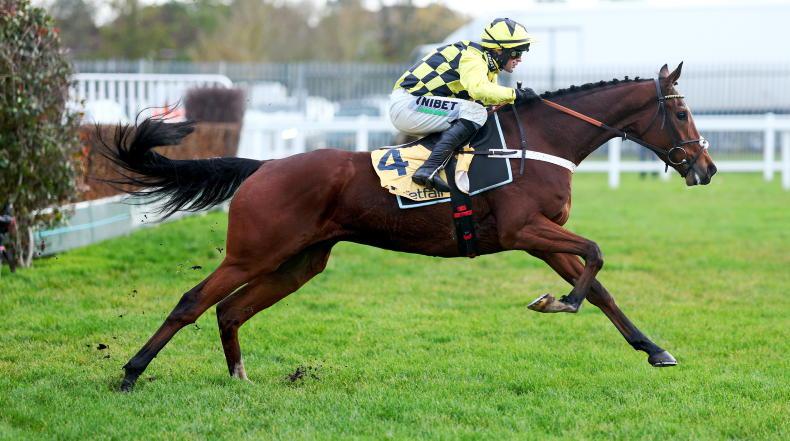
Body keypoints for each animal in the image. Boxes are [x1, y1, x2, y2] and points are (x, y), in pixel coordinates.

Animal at [108, 63, 716, 392]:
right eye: (681, 113)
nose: (706, 168)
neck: (541, 143)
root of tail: (264, 165)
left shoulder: (541, 238)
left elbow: (602, 286)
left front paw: (653, 349)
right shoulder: (524, 230)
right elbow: (595, 253)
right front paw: (557, 302)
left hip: (300, 262)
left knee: (231, 311)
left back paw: (239, 376)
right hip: (253, 252)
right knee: (192, 302)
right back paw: (130, 373)